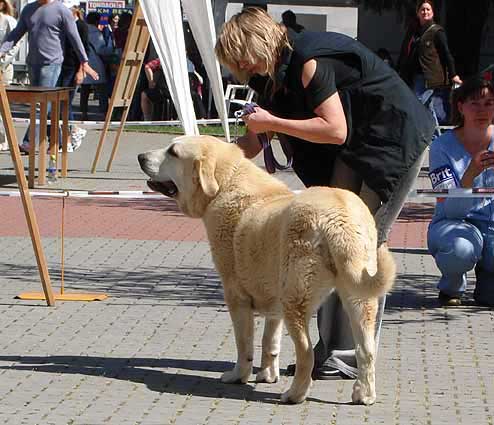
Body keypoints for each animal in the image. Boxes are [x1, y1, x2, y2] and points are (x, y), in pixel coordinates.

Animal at [137, 136, 396, 404]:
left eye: (173, 152)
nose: (140, 157)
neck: (225, 183)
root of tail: (338, 218)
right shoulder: (274, 299)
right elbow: (270, 340)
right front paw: (267, 375)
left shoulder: (235, 296)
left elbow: (245, 343)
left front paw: (239, 375)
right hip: (358, 298)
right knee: (366, 350)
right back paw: (364, 394)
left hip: (296, 298)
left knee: (306, 353)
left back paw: (295, 394)